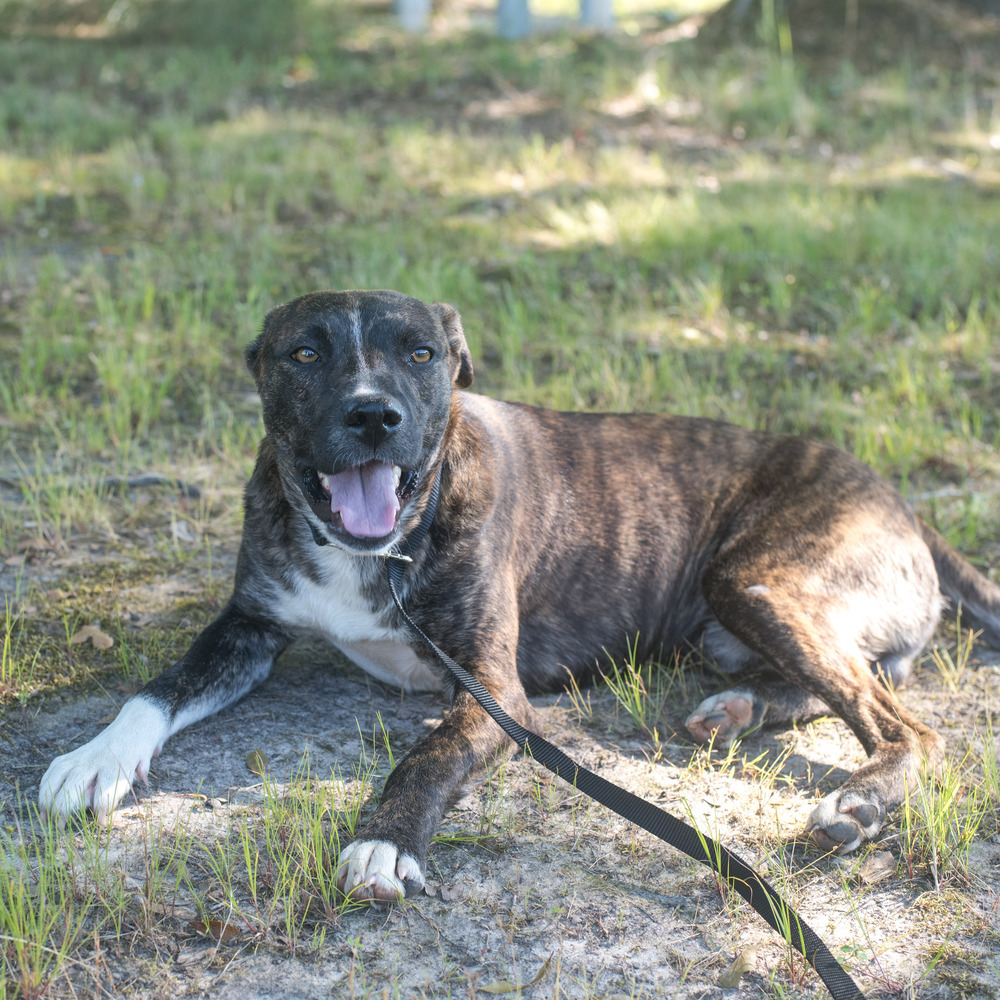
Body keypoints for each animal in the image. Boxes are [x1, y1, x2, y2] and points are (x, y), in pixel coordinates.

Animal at [43, 290, 1000, 900]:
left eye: (421, 354)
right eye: (304, 352)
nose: (373, 415)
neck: (383, 546)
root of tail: (899, 501)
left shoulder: (493, 692)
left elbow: (426, 756)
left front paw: (384, 842)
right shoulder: (247, 628)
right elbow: (156, 690)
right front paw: (95, 757)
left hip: (756, 578)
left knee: (903, 721)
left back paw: (857, 799)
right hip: (747, 611)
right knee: (844, 682)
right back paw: (736, 709)